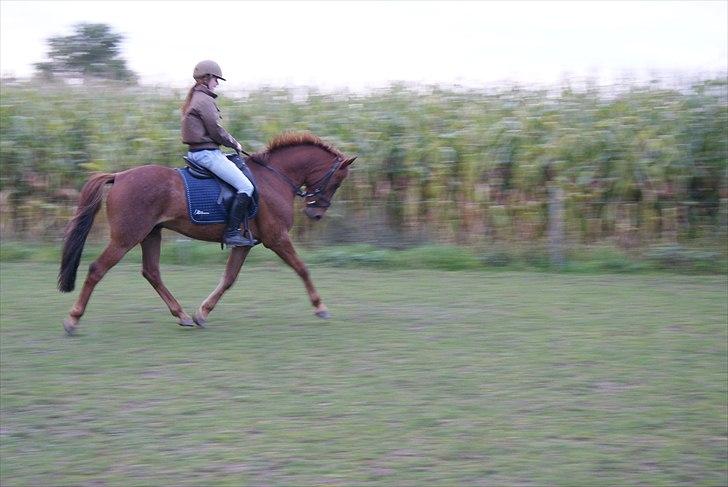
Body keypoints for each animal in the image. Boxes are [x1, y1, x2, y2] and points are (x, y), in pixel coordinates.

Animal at [55, 132, 356, 334]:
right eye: (337, 181)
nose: (316, 214)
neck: (274, 178)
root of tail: (119, 175)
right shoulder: (277, 238)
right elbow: (302, 268)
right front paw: (320, 307)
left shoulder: (244, 243)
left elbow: (229, 278)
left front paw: (202, 313)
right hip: (126, 237)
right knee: (97, 269)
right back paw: (72, 319)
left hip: (151, 234)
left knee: (152, 272)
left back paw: (182, 315)